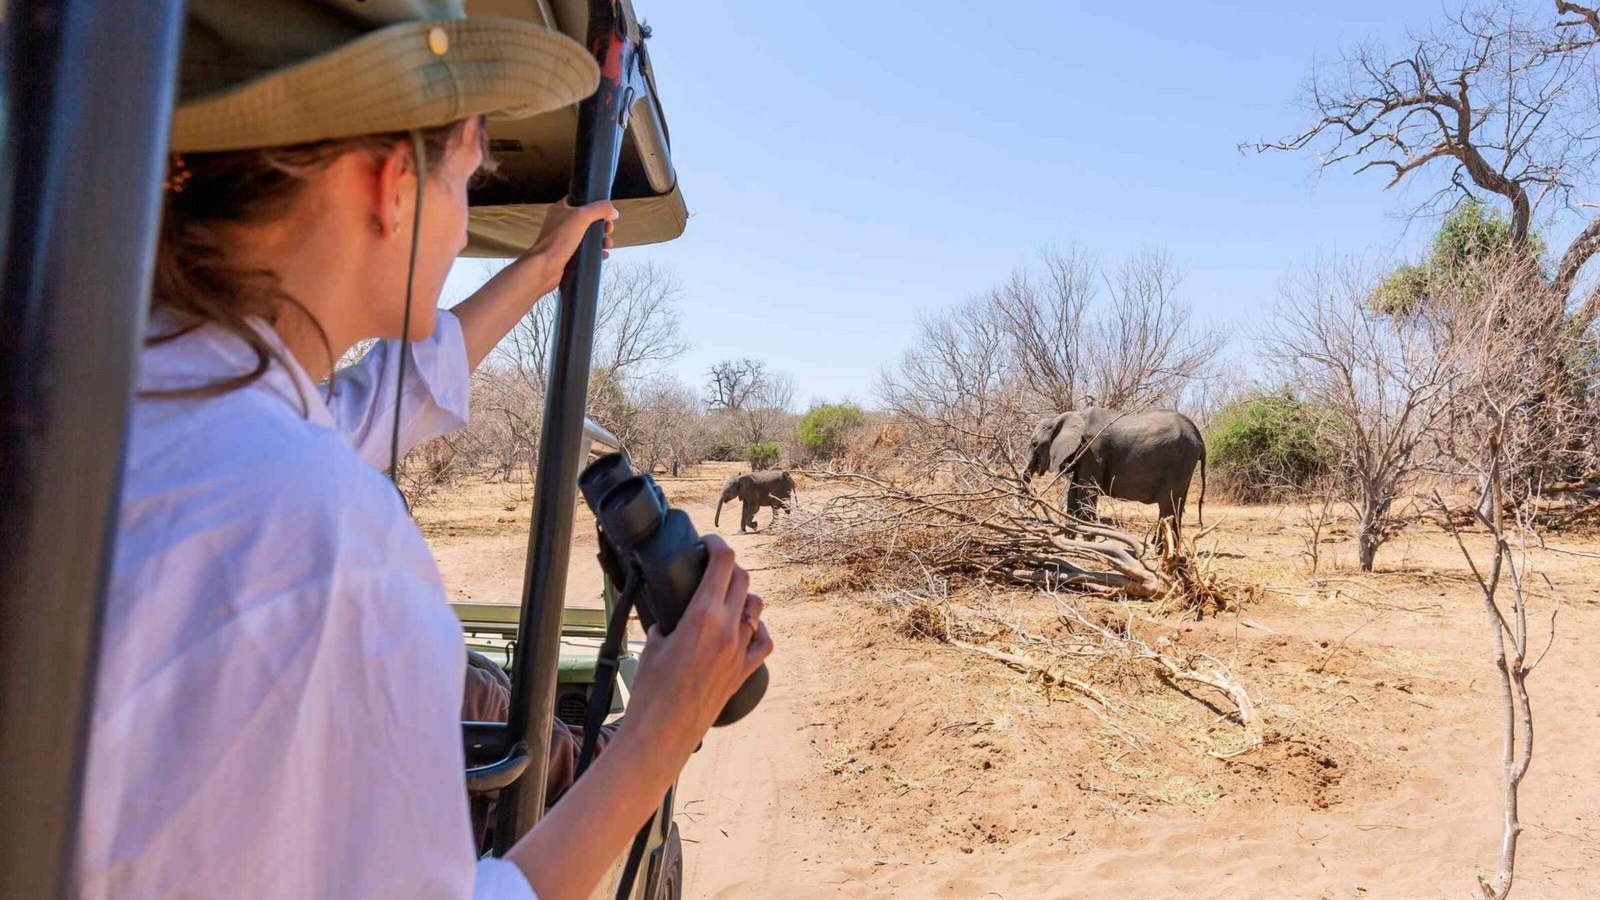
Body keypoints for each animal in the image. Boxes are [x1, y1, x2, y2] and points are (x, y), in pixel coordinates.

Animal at [1024, 407, 1206, 538]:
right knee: (1177, 506)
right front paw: (1070, 537)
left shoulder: (1093, 450)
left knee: (1167, 506)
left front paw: (1088, 539)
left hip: (1179, 461)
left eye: (1034, 444)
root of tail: (1200, 439)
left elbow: (1086, 492)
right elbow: (1073, 492)